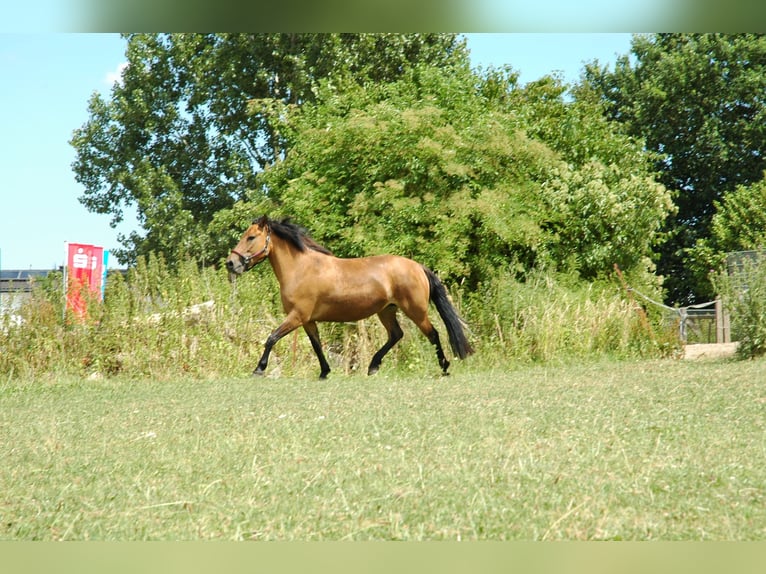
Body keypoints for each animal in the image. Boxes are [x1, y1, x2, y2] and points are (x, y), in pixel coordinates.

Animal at [226, 215, 474, 379]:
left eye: (251, 237)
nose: (231, 263)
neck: (301, 268)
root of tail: (418, 267)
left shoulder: (297, 316)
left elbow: (271, 338)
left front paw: (259, 369)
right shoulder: (308, 320)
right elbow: (316, 345)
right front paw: (325, 372)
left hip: (415, 310)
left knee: (433, 334)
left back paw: (444, 367)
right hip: (387, 310)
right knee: (396, 335)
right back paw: (373, 366)